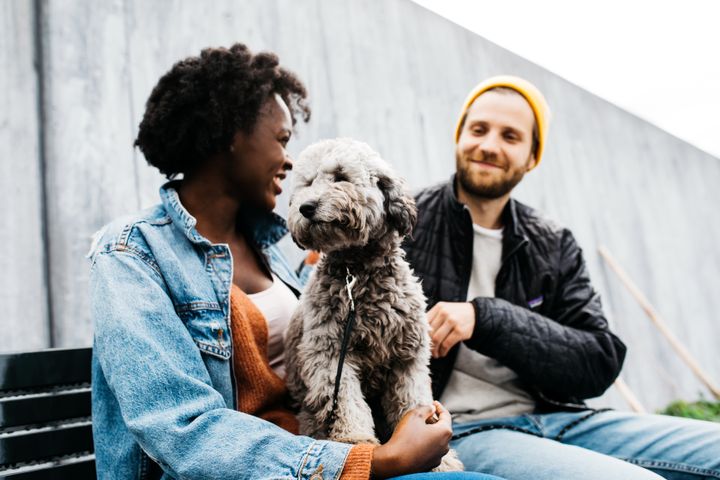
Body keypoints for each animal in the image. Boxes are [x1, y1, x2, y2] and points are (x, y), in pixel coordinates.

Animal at [282, 137, 462, 470]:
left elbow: (412, 400)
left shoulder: (408, 357)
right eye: (308, 183)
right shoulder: (330, 356)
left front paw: (442, 461)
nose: (306, 207)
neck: (357, 272)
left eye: (340, 176)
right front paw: (355, 440)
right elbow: (346, 401)